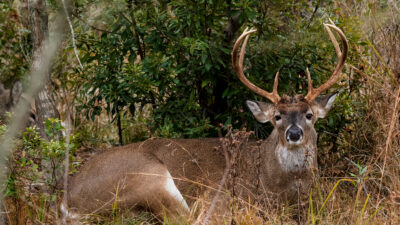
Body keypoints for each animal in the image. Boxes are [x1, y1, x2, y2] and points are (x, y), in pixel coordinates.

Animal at [63, 22, 346, 220]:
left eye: (309, 115)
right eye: (277, 117)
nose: (294, 133)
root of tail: (68, 200)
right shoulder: (219, 198)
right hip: (147, 177)